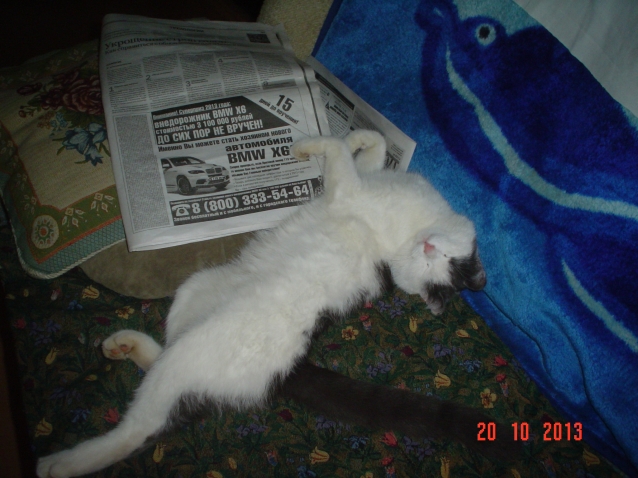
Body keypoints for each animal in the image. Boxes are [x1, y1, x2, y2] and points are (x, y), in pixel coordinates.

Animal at [37, 130, 515, 478]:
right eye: (444, 263)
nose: (430, 248)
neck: (411, 227)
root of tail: (288, 368)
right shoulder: (361, 182)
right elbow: (373, 146)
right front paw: (360, 136)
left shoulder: (348, 190)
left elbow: (335, 147)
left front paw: (306, 145)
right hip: (196, 290)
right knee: (163, 354)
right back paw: (123, 346)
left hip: (195, 351)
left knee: (146, 424)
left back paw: (61, 464)